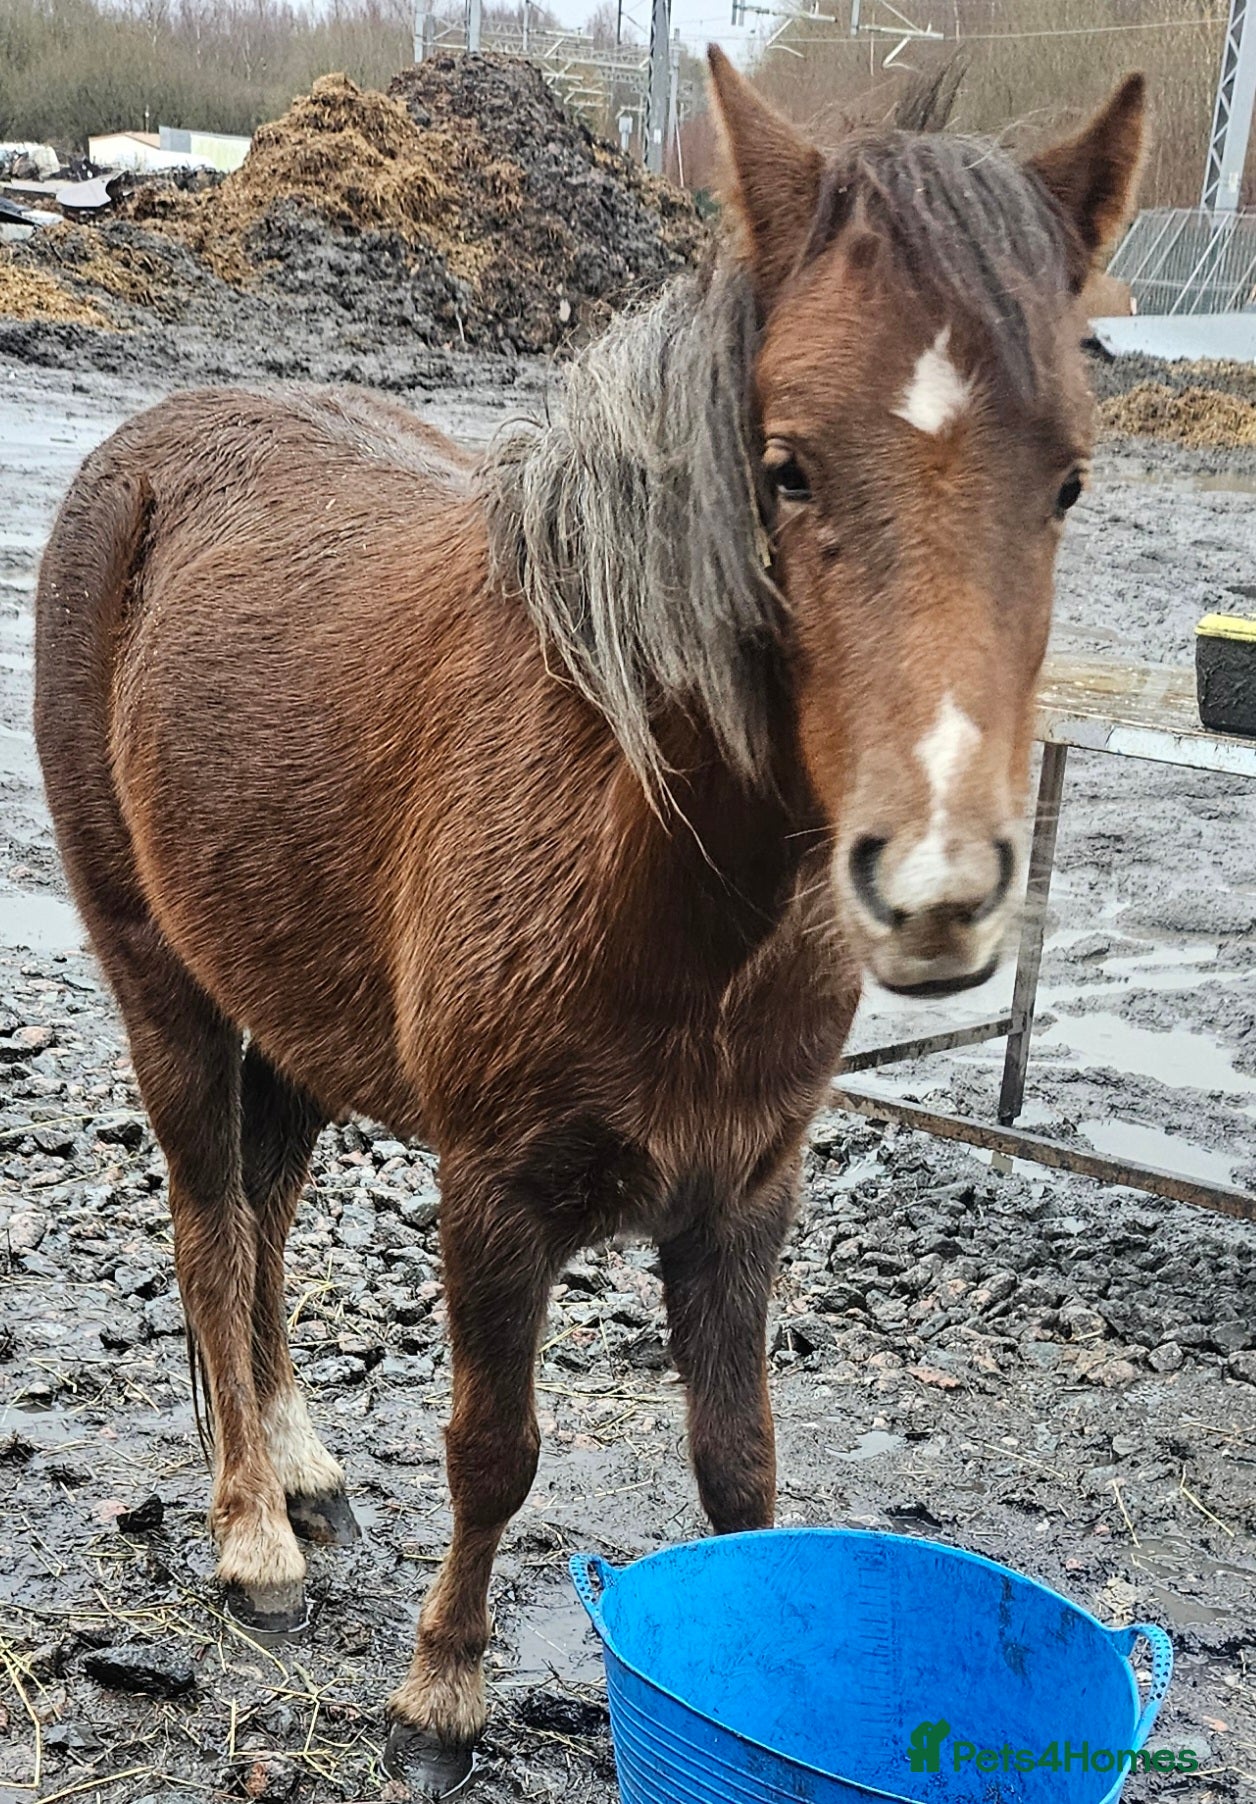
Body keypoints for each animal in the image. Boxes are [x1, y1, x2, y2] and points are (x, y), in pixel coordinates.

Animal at [34, 51, 1144, 1796]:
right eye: (786, 465)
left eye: (1070, 481)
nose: (939, 890)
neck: (667, 892)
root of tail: (143, 448)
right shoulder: (494, 1199)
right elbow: (494, 1450)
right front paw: (440, 1692)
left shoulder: (744, 1200)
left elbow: (741, 1469)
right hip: (166, 991)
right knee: (211, 1229)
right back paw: (251, 1536)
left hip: (286, 1005)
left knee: (267, 1219)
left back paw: (299, 1460)